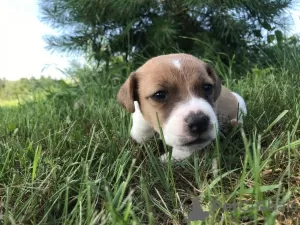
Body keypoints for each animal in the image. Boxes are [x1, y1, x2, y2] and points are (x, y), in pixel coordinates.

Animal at [117, 53, 246, 162]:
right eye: (159, 95)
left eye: (207, 87)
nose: (199, 122)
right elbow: (139, 133)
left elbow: (183, 149)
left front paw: (167, 159)